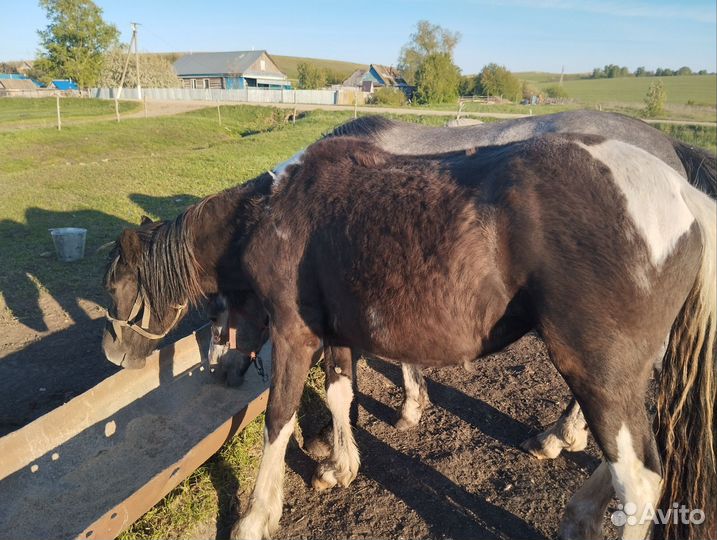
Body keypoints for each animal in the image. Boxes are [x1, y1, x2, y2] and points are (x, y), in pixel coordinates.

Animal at [103, 132, 716, 540]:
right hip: (616, 374)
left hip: (600, 370)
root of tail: (683, 197)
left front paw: (256, 517)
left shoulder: (296, 337)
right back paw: (578, 512)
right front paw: (340, 467)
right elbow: (340, 394)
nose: (116, 354)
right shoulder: (337, 332)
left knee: (639, 481)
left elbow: (279, 420)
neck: (271, 212)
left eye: (115, 286)